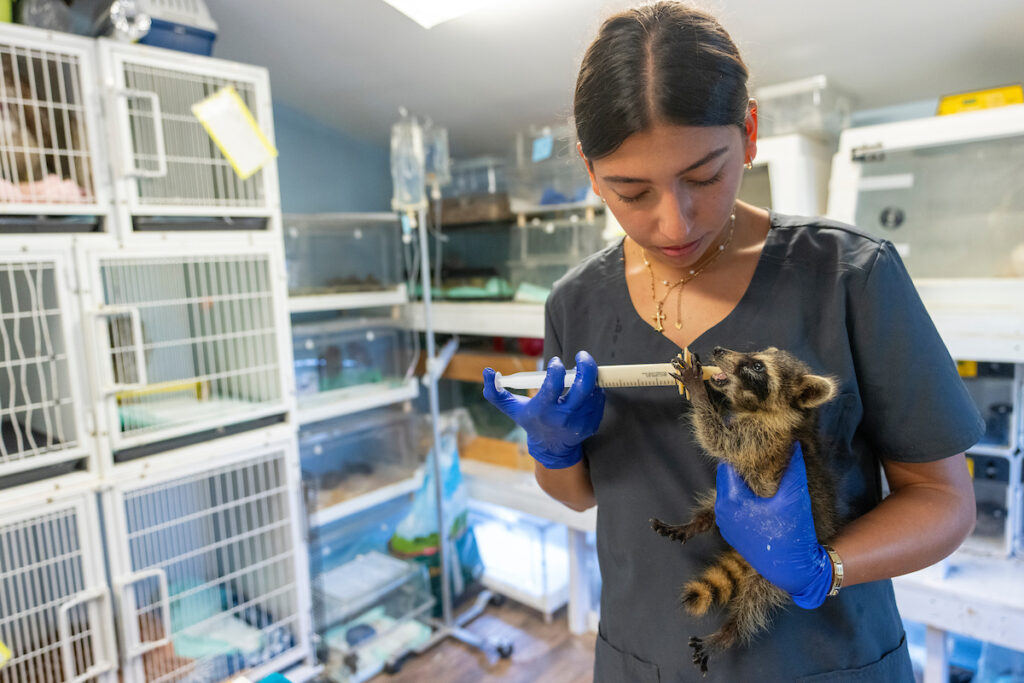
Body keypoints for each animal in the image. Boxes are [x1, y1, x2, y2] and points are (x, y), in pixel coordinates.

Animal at [651, 344, 835, 675]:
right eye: (759, 352)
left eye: (757, 366)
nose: (717, 349)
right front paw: (708, 392)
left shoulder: (760, 439)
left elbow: (718, 439)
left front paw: (698, 392)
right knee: (713, 509)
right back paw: (694, 523)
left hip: (779, 570)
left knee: (755, 601)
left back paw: (730, 632)